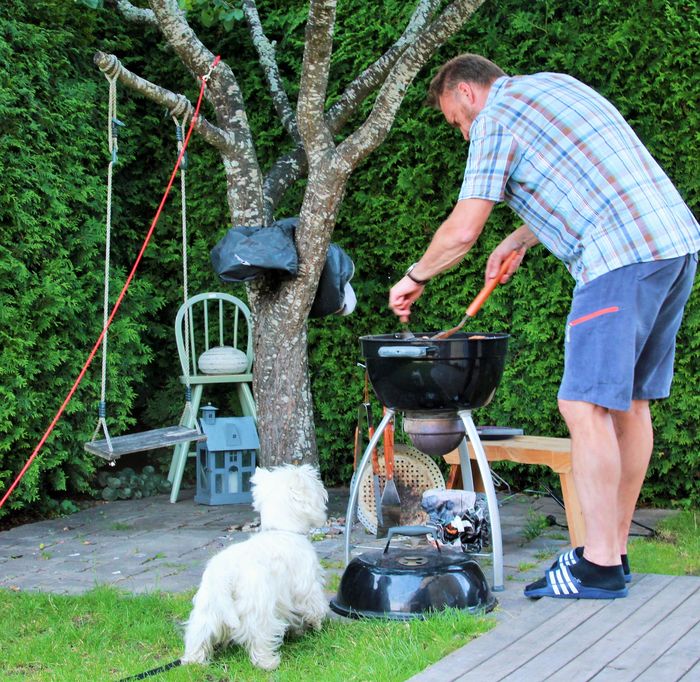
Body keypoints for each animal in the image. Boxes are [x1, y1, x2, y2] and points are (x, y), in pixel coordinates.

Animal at [182, 464, 329, 671]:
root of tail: (226, 575)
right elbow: (314, 606)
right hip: (259, 607)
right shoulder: (306, 582)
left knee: (198, 634)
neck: (282, 529)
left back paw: (193, 661)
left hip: (208, 608)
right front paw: (317, 625)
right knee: (260, 636)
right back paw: (268, 663)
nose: (324, 492)